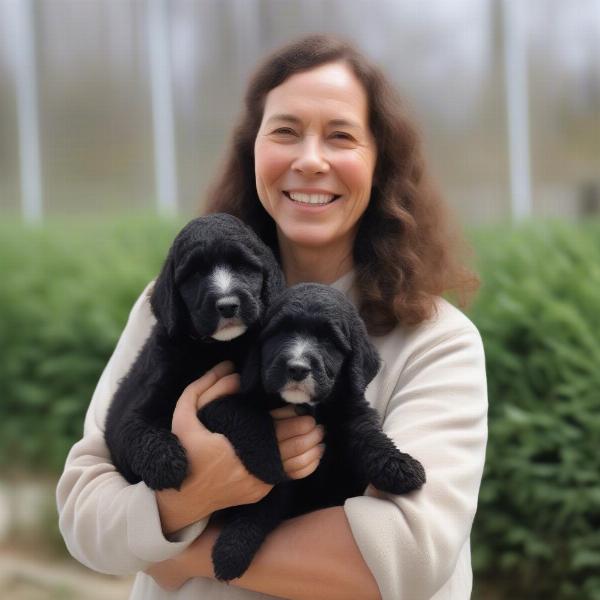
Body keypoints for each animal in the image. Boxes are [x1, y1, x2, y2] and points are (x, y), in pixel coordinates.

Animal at [105, 214, 286, 492]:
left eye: (243, 266)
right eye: (196, 274)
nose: (227, 305)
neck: (216, 347)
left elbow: (235, 404)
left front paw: (265, 457)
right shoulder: (129, 412)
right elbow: (135, 428)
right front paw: (165, 462)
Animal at [206, 284, 426, 584]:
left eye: (329, 341)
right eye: (279, 332)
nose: (297, 368)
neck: (310, 407)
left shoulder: (351, 412)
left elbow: (370, 437)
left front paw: (400, 467)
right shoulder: (217, 407)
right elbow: (264, 490)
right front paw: (232, 550)